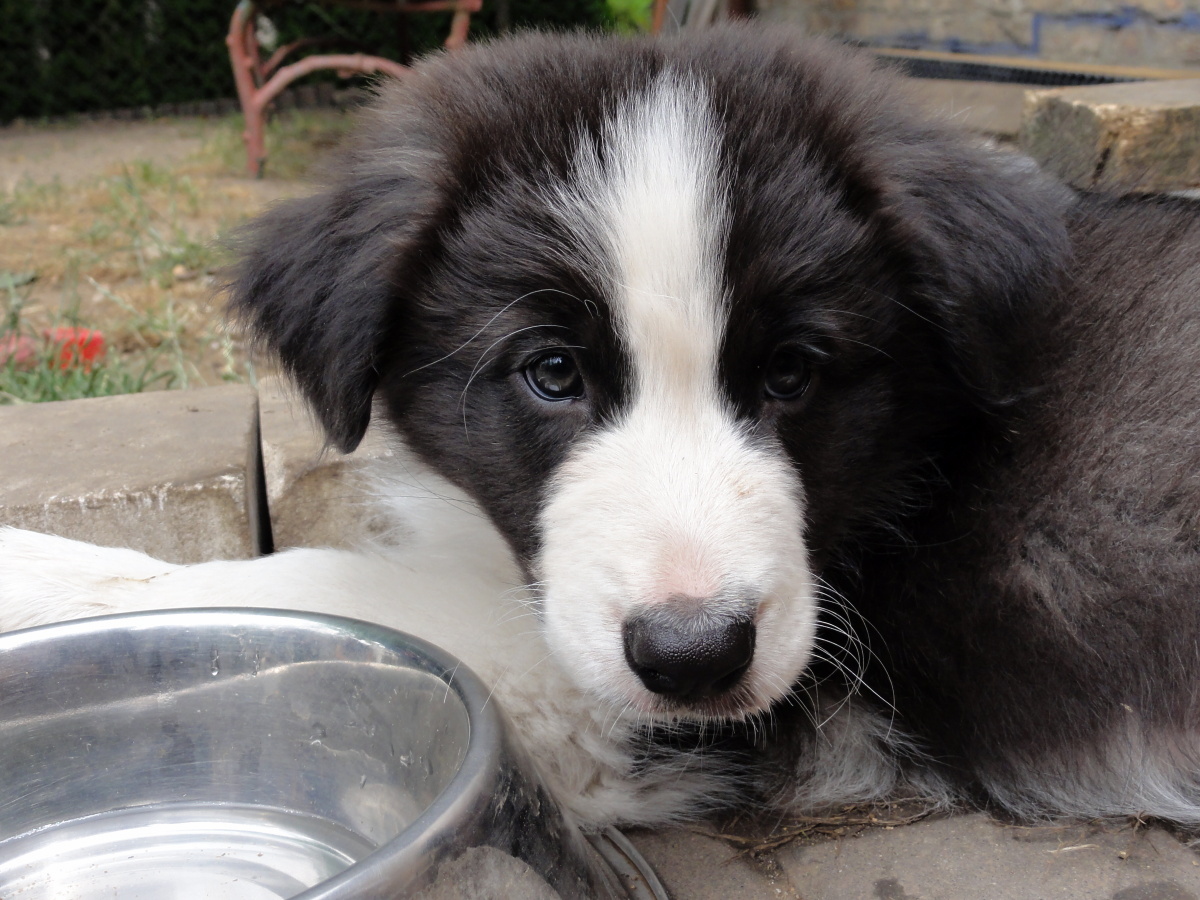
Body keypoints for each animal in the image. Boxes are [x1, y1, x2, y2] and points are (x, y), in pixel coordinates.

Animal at [3, 25, 1200, 831]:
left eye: (793, 372)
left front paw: (42, 574)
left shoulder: (623, 706)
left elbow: (313, 590)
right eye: (552, 373)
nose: (695, 657)